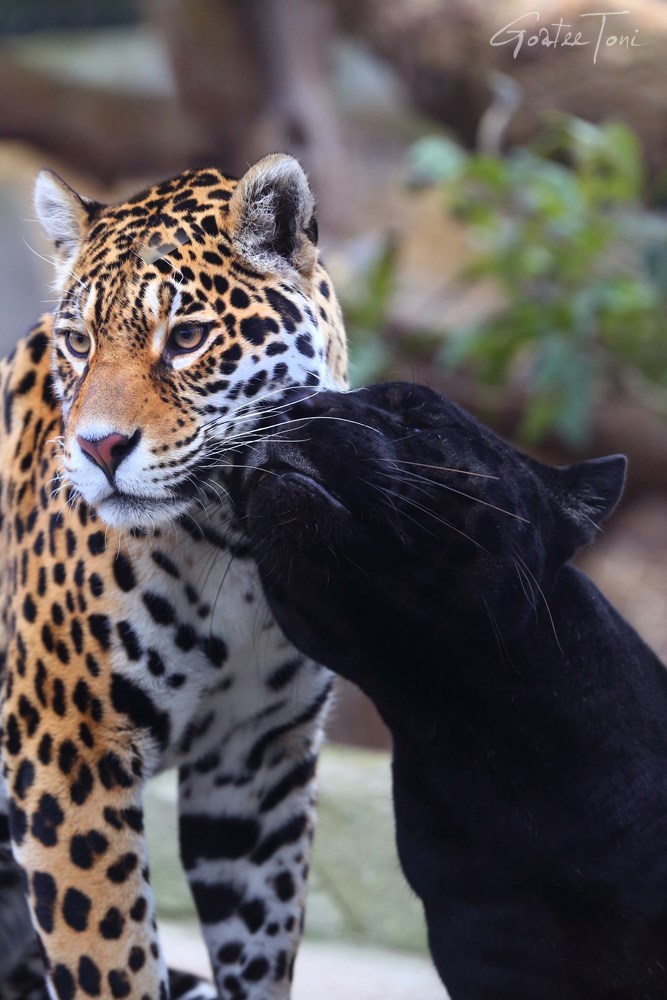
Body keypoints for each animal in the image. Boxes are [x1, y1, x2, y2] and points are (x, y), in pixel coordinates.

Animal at [0, 154, 347, 1000]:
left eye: (186, 338)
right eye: (77, 343)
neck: (237, 545)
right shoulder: (66, 757)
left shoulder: (255, 768)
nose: (98, 448)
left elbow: (261, 954)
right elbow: (110, 963)